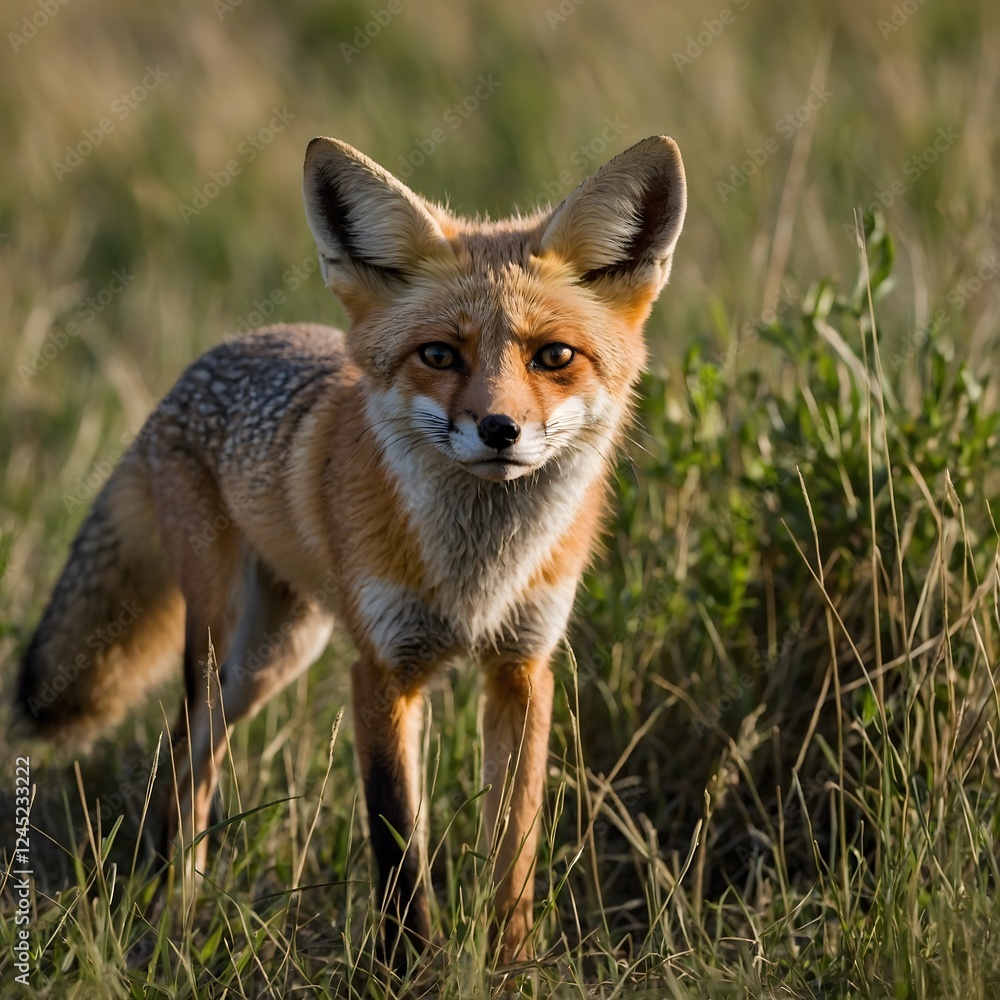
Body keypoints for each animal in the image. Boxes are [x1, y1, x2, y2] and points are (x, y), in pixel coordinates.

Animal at [16, 134, 686, 969]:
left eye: (555, 356)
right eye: (440, 354)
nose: (499, 430)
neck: (476, 576)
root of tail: (199, 366)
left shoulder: (522, 669)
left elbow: (515, 852)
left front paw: (511, 966)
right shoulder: (381, 670)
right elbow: (397, 847)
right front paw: (412, 971)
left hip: (278, 651)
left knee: (183, 758)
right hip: (225, 652)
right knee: (185, 758)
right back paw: (177, 911)